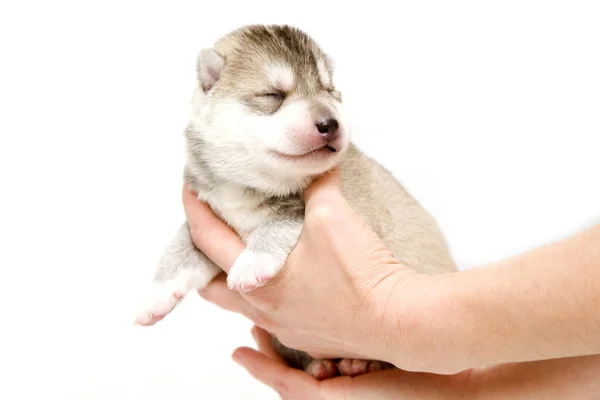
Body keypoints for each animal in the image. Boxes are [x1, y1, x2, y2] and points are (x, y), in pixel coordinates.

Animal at [135, 23, 454, 380]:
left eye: (330, 90)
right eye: (273, 95)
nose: (331, 123)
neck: (249, 184)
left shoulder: (305, 210)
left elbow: (277, 224)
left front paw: (252, 263)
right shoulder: (206, 217)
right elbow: (180, 246)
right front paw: (156, 295)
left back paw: (363, 362)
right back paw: (320, 365)